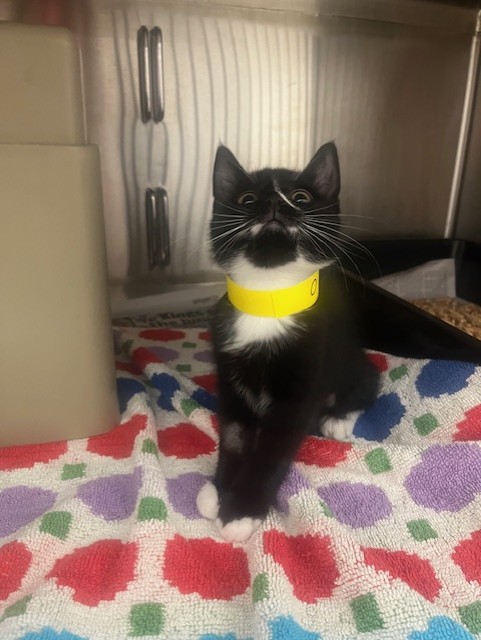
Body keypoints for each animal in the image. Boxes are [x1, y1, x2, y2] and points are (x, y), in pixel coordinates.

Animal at [196, 142, 379, 543]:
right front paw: (219, 489)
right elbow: (233, 436)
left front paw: (241, 511)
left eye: (301, 197)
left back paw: (338, 418)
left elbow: (271, 452)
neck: (267, 299)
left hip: (349, 357)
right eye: (248, 199)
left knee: (369, 385)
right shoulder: (230, 380)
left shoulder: (299, 391)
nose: (273, 203)